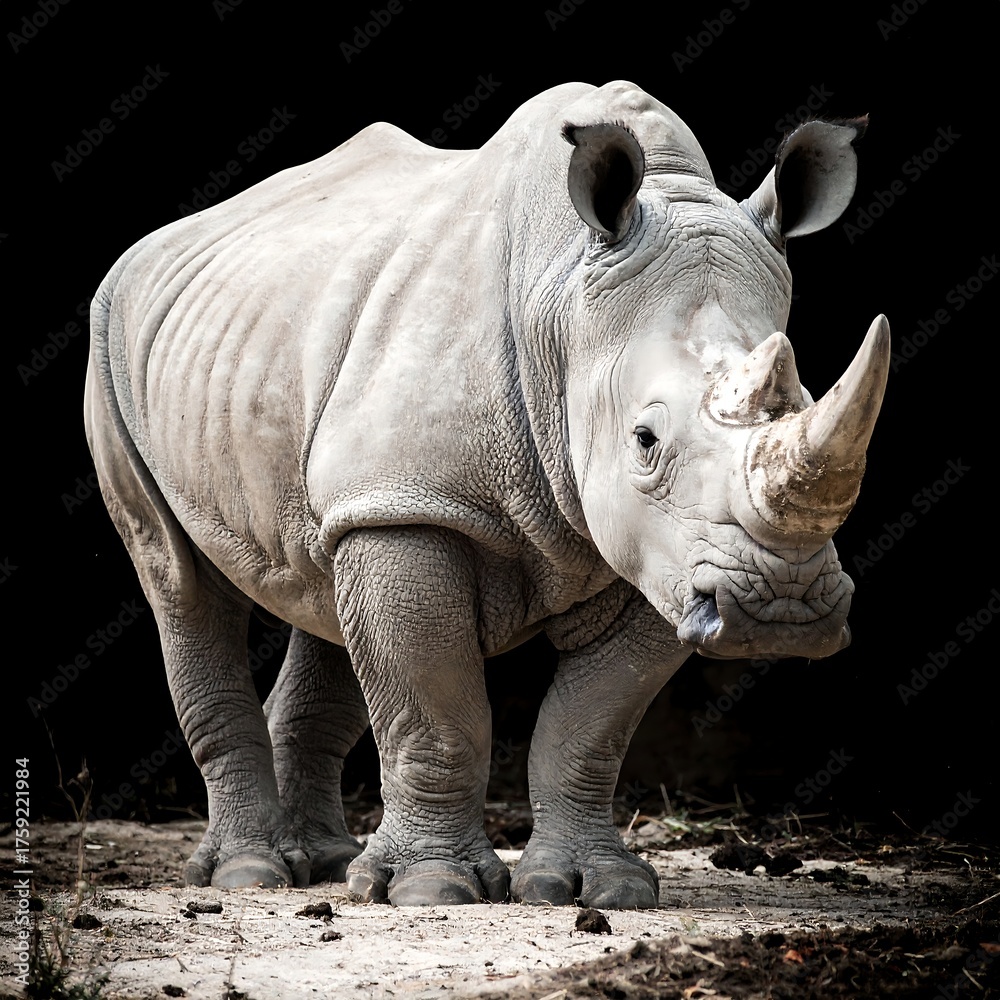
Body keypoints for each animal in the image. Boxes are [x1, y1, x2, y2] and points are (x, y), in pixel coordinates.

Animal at [85, 80, 888, 909]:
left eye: (810, 399)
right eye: (644, 440)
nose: (782, 610)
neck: (563, 305)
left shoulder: (665, 549)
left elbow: (589, 724)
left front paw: (597, 889)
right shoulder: (420, 507)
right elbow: (438, 712)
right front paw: (432, 889)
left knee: (321, 572)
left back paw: (326, 864)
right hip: (114, 339)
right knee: (179, 580)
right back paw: (251, 874)